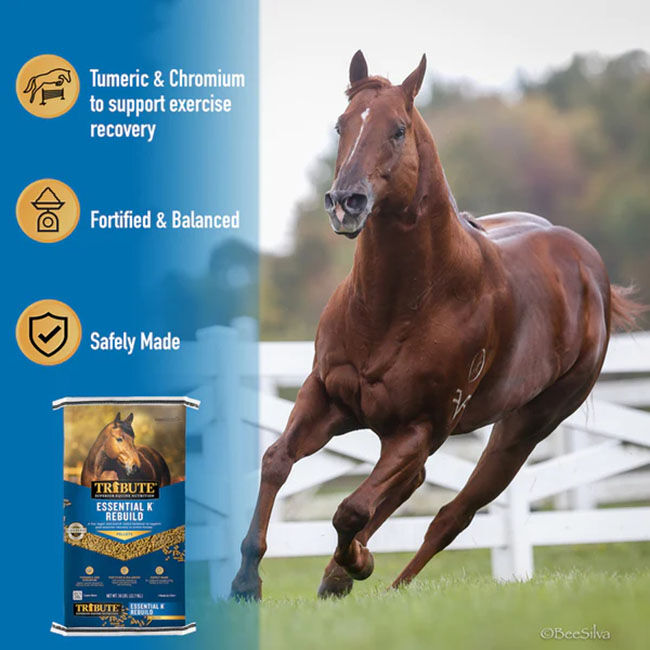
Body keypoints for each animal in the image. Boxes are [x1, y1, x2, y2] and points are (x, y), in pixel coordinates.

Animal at [231, 51, 644, 600]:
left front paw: (354, 564)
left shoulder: (420, 425)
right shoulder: (327, 396)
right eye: (342, 124)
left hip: (527, 426)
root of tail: (592, 272)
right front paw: (246, 581)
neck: (397, 307)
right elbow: (277, 460)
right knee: (415, 484)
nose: (345, 203)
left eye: (398, 130)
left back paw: (378, 579)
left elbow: (351, 508)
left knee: (453, 514)